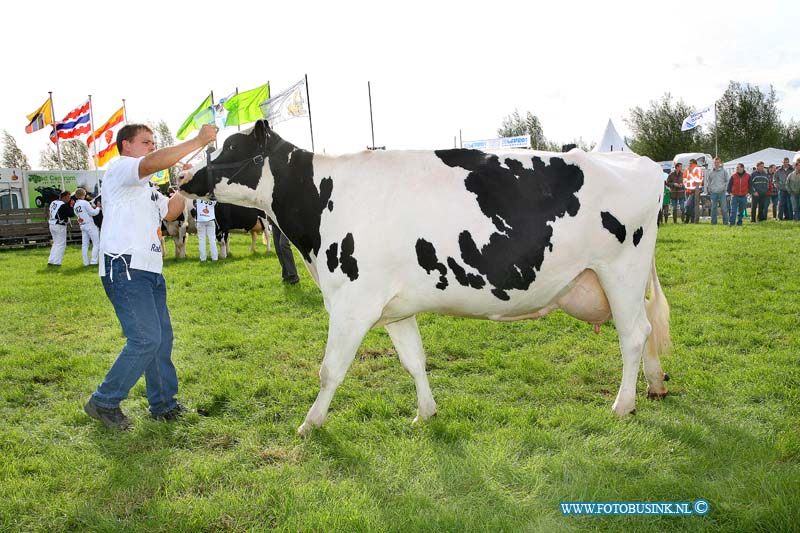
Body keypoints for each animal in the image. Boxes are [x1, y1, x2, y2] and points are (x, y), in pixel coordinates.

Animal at [180, 120, 668, 436]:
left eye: (229, 150)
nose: (182, 177)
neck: (322, 199)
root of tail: (639, 161)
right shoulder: (395, 308)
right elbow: (414, 360)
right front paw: (425, 413)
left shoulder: (353, 303)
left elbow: (329, 370)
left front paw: (309, 424)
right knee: (646, 329)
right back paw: (655, 384)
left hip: (620, 271)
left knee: (634, 334)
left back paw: (622, 404)